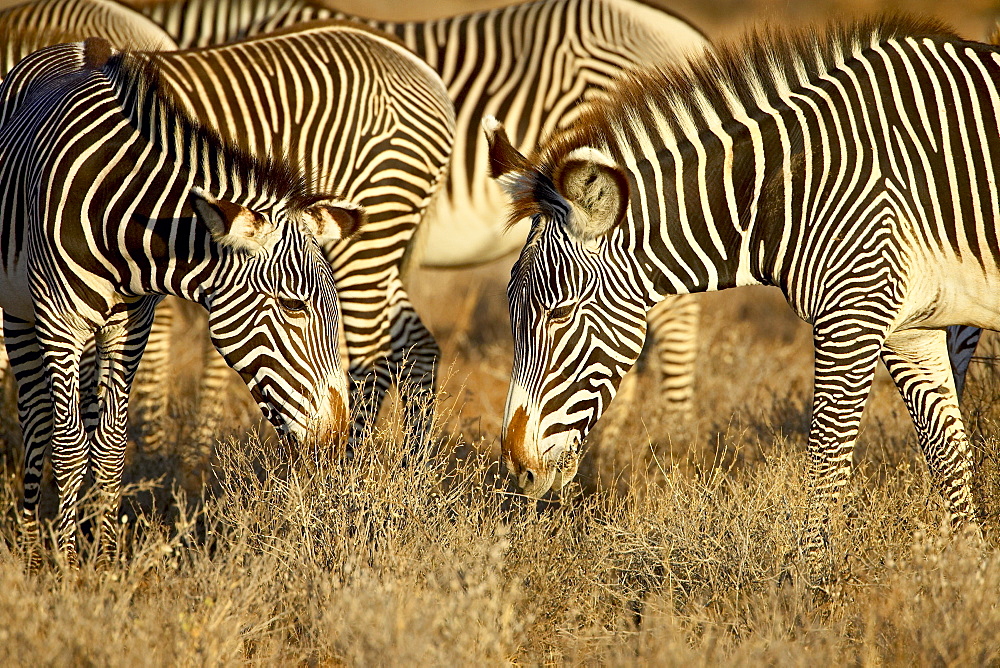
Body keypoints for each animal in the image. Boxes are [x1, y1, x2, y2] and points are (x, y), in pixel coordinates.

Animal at [0, 36, 360, 568]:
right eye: (294, 307)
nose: (337, 438)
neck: (126, 225)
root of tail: (77, 43)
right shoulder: (59, 324)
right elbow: (67, 446)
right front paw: (66, 566)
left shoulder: (131, 326)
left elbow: (109, 444)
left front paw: (104, 559)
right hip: (22, 313)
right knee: (37, 422)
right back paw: (29, 547)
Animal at [484, 15, 1000, 568]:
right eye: (513, 314)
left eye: (559, 314)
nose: (517, 474)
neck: (796, 183)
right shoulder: (909, 327)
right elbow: (946, 454)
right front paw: (966, 568)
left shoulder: (853, 314)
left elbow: (827, 462)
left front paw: (807, 581)